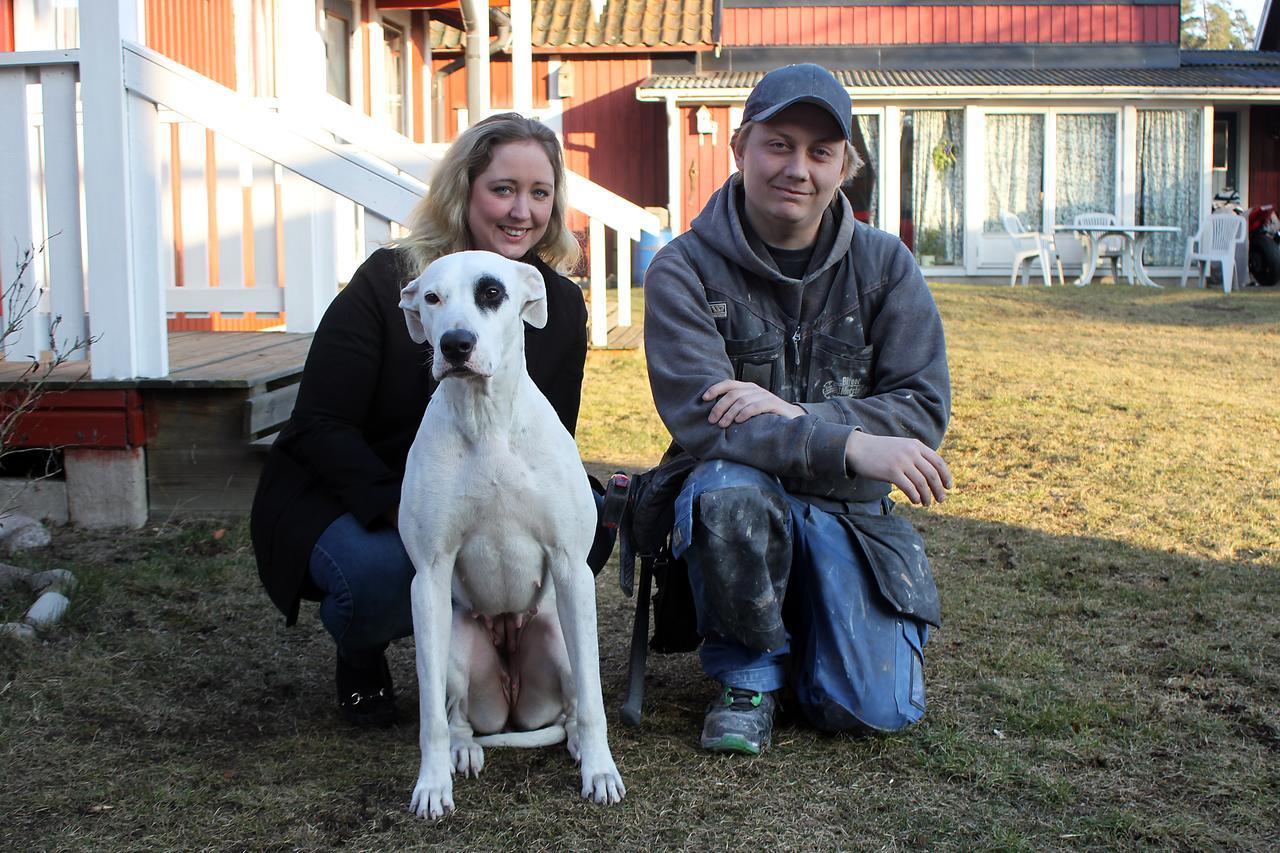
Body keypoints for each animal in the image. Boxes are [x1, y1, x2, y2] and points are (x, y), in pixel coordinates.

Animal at [396, 249, 622, 814]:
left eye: (491, 292)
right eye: (431, 298)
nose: (455, 345)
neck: (486, 422)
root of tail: (513, 701)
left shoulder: (572, 568)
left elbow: (593, 702)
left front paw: (601, 771)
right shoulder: (428, 578)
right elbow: (430, 717)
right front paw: (431, 784)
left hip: (560, 636)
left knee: (573, 705)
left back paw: (578, 744)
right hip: (455, 643)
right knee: (456, 717)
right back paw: (462, 750)